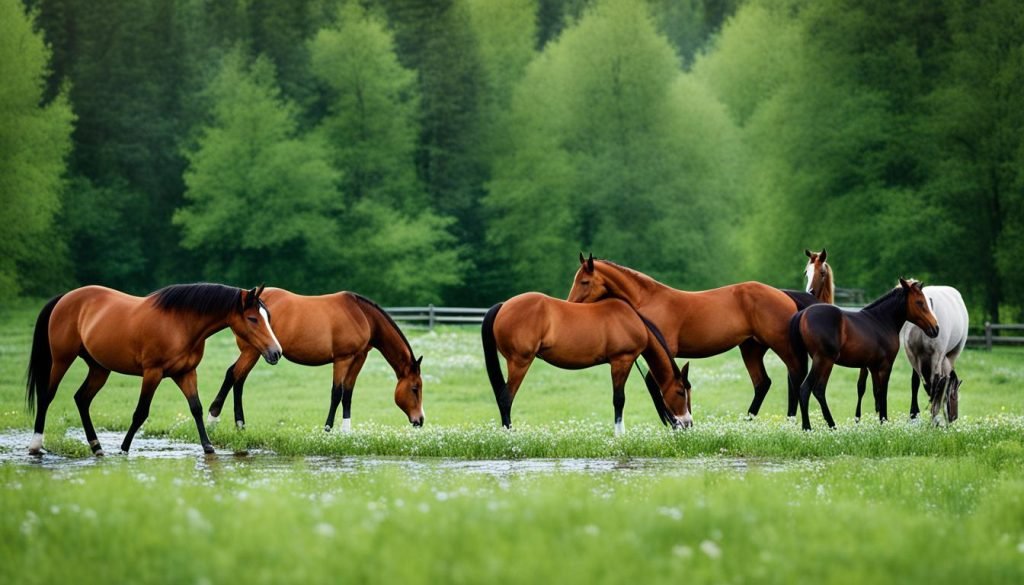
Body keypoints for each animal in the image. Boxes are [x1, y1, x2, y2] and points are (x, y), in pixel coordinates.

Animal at [25, 284, 282, 456]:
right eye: (253, 318)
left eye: (268, 316)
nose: (276, 352)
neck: (181, 324)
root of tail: (65, 298)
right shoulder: (152, 373)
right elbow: (141, 412)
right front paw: (124, 448)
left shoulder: (186, 373)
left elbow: (196, 408)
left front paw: (208, 446)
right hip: (61, 360)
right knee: (47, 396)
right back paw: (36, 445)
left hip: (99, 368)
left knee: (82, 399)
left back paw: (96, 447)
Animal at [207, 289, 424, 432]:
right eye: (415, 388)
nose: (420, 420)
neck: (362, 315)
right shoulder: (343, 359)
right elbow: (337, 393)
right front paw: (327, 429)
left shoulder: (358, 358)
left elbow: (348, 394)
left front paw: (346, 431)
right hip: (252, 350)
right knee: (233, 374)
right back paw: (212, 419)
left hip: (258, 352)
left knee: (239, 379)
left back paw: (240, 424)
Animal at [480, 292, 692, 433]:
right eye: (680, 391)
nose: (687, 423)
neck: (632, 321)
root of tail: (504, 305)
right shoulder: (621, 360)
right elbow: (619, 399)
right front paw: (620, 436)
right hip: (519, 362)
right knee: (506, 398)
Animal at [567, 254, 809, 419]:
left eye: (585, 282)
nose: (569, 305)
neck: (646, 299)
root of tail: (784, 295)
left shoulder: (662, 352)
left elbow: (655, 384)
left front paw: (672, 419)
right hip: (751, 348)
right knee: (763, 383)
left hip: (781, 345)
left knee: (795, 376)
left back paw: (791, 420)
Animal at [789, 278, 939, 430]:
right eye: (919, 302)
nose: (936, 328)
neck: (881, 321)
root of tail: (803, 313)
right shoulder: (886, 365)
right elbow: (883, 392)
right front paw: (884, 421)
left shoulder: (872, 366)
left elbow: (876, 392)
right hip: (824, 360)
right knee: (811, 389)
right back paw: (816, 427)